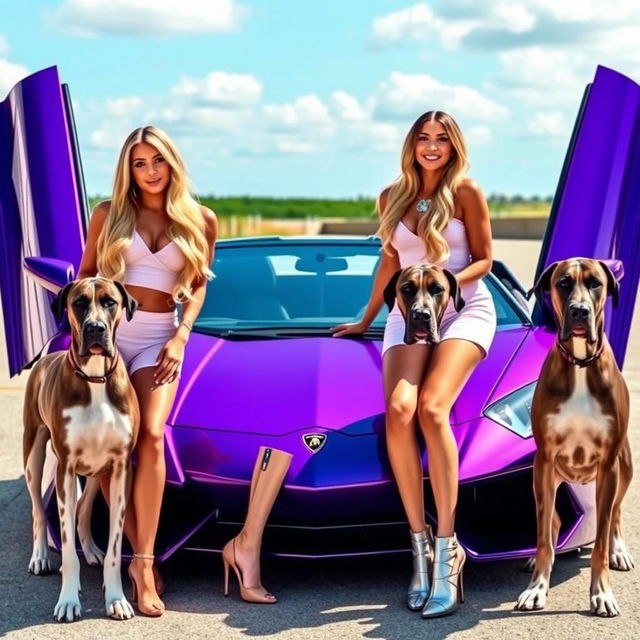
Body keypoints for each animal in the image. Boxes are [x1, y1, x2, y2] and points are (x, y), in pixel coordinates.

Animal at [24, 276, 139, 620]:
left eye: (110, 302)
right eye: (79, 303)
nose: (95, 328)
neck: (96, 377)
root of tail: (46, 357)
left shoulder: (120, 467)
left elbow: (115, 545)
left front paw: (116, 598)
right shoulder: (65, 467)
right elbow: (65, 545)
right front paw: (68, 600)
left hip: (97, 470)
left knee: (84, 510)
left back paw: (90, 550)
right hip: (33, 457)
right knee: (38, 510)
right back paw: (40, 556)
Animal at [516, 258, 636, 616]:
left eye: (595, 282)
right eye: (564, 283)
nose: (580, 311)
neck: (581, 364)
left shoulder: (609, 466)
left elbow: (600, 540)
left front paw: (602, 593)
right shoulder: (544, 461)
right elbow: (543, 535)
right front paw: (537, 588)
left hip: (624, 469)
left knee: (616, 514)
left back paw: (619, 550)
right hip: (544, 476)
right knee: (552, 520)